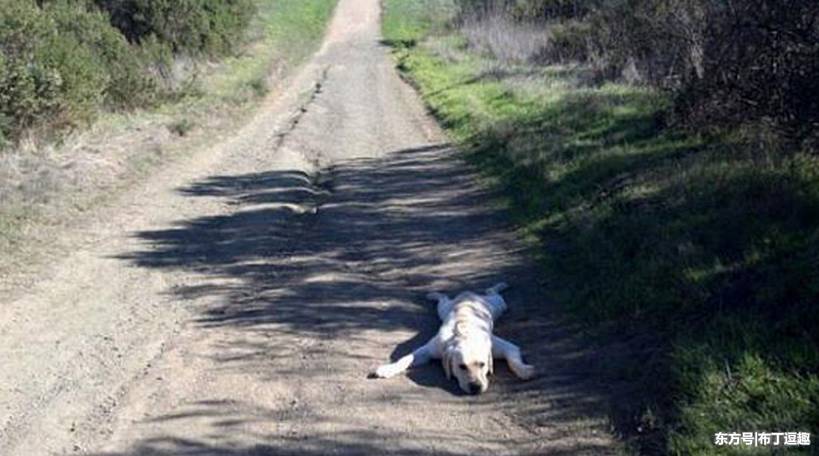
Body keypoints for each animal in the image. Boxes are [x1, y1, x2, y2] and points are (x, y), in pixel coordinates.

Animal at [374, 284, 540, 394]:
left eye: (482, 364)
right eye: (462, 366)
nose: (475, 388)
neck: (463, 333)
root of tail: (468, 295)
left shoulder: (503, 346)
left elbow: (513, 359)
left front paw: (524, 370)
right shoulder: (430, 349)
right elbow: (405, 358)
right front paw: (387, 369)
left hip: (497, 306)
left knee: (494, 293)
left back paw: (499, 285)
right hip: (444, 309)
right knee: (444, 298)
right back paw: (434, 294)